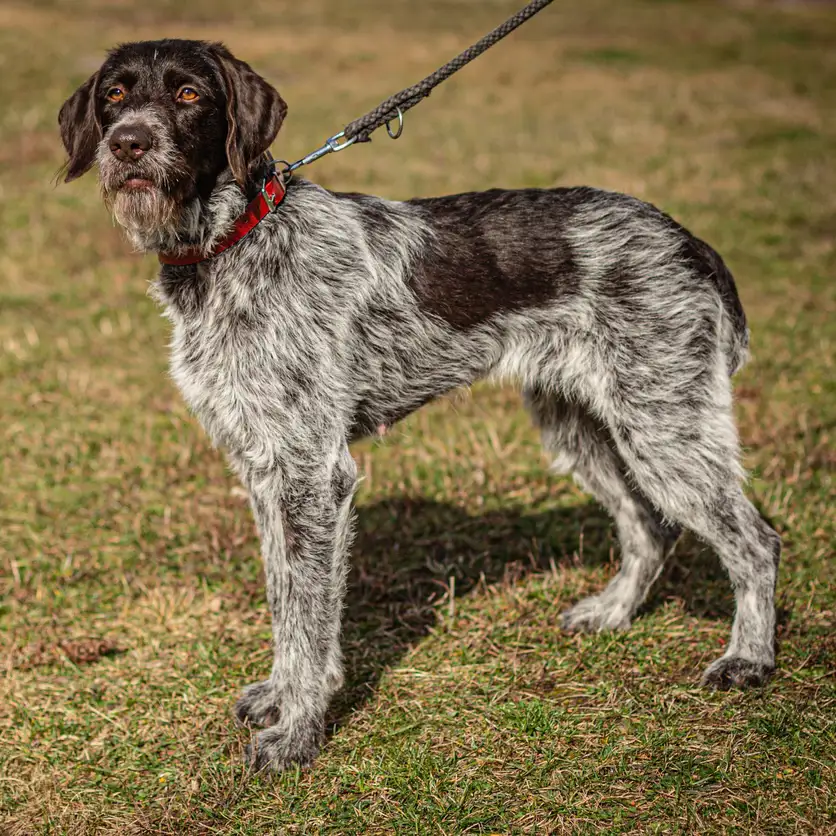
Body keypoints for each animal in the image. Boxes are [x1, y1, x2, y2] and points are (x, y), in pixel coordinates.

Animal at [60, 39, 784, 772]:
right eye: (115, 95)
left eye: (188, 95)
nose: (128, 144)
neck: (236, 239)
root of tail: (687, 240)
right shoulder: (265, 470)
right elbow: (285, 600)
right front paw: (282, 698)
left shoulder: (311, 474)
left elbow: (310, 615)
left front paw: (298, 733)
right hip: (583, 425)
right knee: (648, 526)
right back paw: (612, 614)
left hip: (663, 424)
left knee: (756, 542)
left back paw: (748, 659)